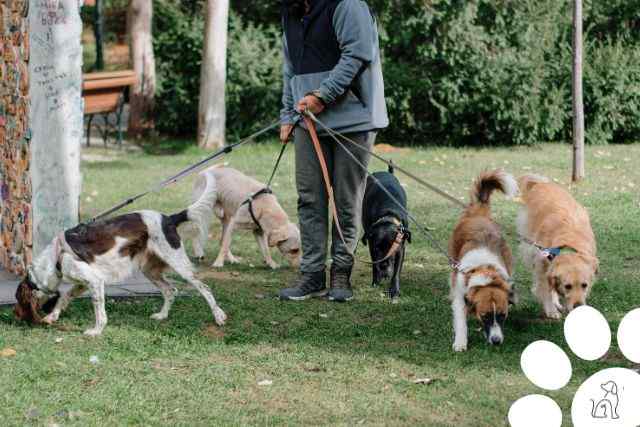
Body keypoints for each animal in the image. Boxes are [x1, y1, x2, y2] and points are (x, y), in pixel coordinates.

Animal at [360, 166, 410, 300]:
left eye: (392, 249)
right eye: (377, 248)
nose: (383, 267)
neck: (388, 214)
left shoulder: (400, 248)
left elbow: (396, 271)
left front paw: (394, 290)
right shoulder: (371, 246)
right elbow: (374, 265)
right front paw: (376, 281)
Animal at [448, 169, 516, 352]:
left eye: (502, 315)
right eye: (485, 316)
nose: (496, 340)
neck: (484, 270)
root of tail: (478, 215)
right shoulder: (460, 295)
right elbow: (461, 320)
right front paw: (460, 341)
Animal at [516, 173, 600, 318]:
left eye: (584, 285)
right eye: (567, 286)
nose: (578, 306)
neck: (568, 245)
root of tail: (541, 183)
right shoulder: (542, 263)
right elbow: (545, 288)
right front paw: (551, 310)